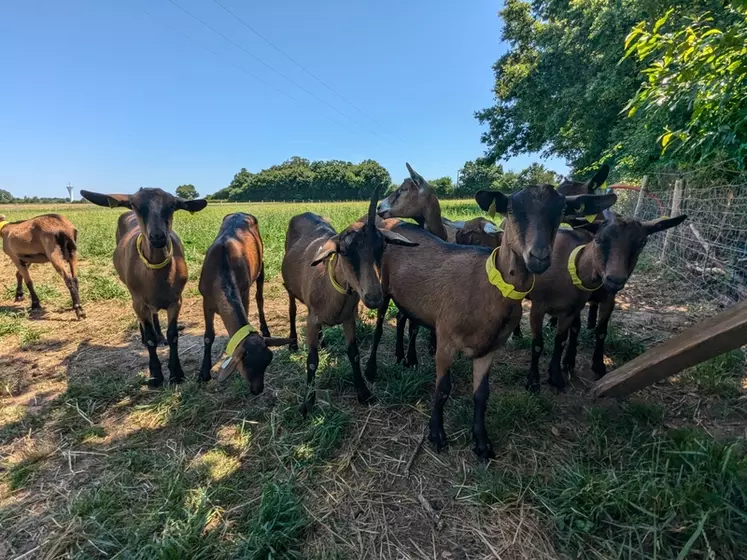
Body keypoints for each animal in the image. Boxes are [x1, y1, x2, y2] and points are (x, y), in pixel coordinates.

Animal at [80, 188, 207, 384]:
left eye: (172, 205)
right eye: (135, 205)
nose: (158, 236)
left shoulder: (176, 300)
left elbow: (173, 335)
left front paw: (176, 373)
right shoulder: (139, 301)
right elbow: (150, 340)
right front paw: (155, 375)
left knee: (155, 315)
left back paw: (160, 335)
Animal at [199, 213, 292, 394]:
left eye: (267, 362)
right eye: (247, 365)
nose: (258, 390)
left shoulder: (244, 290)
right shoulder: (206, 299)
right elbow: (208, 336)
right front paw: (204, 373)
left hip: (261, 265)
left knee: (260, 298)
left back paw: (265, 328)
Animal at [282, 185, 420, 416]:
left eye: (383, 247)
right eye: (344, 251)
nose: (374, 297)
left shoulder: (348, 318)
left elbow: (354, 353)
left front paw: (363, 392)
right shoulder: (312, 319)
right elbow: (312, 361)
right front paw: (307, 403)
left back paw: (322, 340)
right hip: (291, 290)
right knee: (292, 309)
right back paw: (293, 342)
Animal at [366, 186, 616, 458]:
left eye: (561, 211)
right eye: (511, 209)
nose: (539, 256)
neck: (486, 287)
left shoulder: (490, 348)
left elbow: (482, 395)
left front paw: (482, 442)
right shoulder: (445, 340)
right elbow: (442, 389)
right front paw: (437, 435)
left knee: (405, 319)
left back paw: (406, 357)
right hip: (382, 290)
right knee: (379, 328)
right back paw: (371, 370)